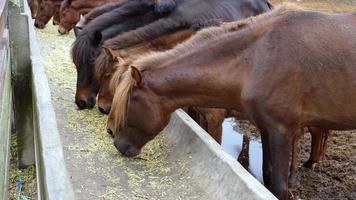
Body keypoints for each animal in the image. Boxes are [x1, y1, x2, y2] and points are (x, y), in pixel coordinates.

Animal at [105, 4, 356, 198]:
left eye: (128, 103)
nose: (116, 141)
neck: (258, 59)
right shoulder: (267, 129)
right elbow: (267, 175)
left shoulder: (280, 130)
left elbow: (278, 187)